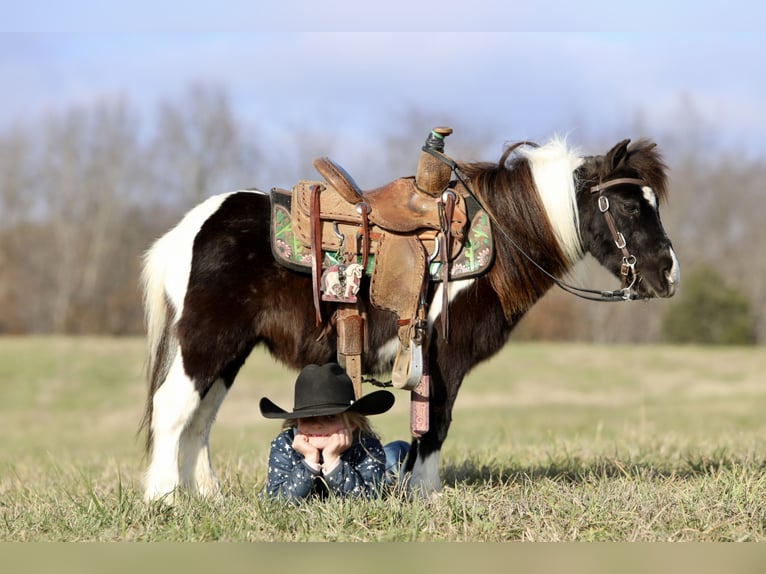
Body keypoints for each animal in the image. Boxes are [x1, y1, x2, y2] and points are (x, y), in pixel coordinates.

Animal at [139, 135, 680, 501]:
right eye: (630, 205)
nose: (669, 273)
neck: (499, 238)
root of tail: (188, 231)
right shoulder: (443, 359)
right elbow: (435, 423)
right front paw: (425, 493)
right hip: (204, 342)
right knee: (174, 408)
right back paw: (165, 497)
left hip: (229, 352)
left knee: (200, 418)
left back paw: (206, 495)